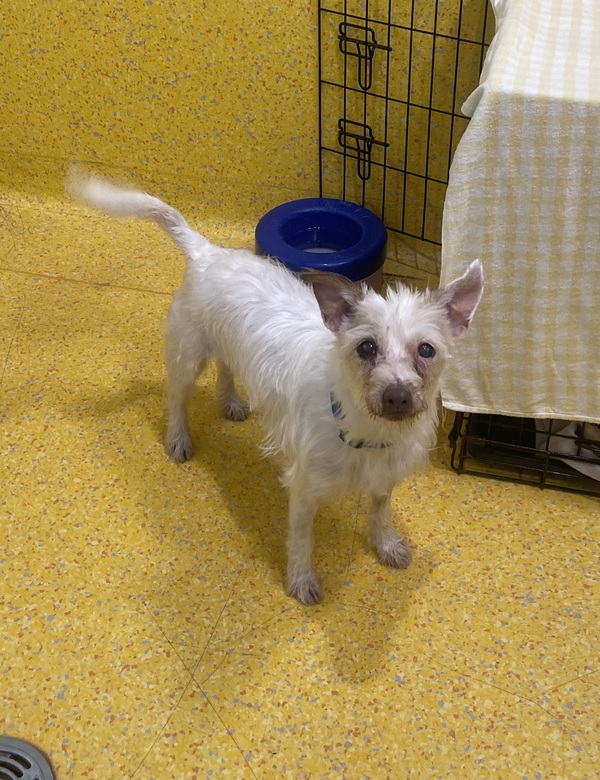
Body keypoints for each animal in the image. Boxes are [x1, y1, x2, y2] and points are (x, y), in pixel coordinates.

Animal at [67, 170, 483, 605]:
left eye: (426, 349)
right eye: (366, 347)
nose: (398, 396)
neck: (366, 427)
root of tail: (207, 252)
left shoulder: (384, 477)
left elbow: (380, 511)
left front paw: (385, 544)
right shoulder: (303, 491)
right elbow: (301, 541)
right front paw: (301, 581)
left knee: (227, 368)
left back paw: (231, 401)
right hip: (188, 356)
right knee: (177, 398)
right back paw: (179, 438)